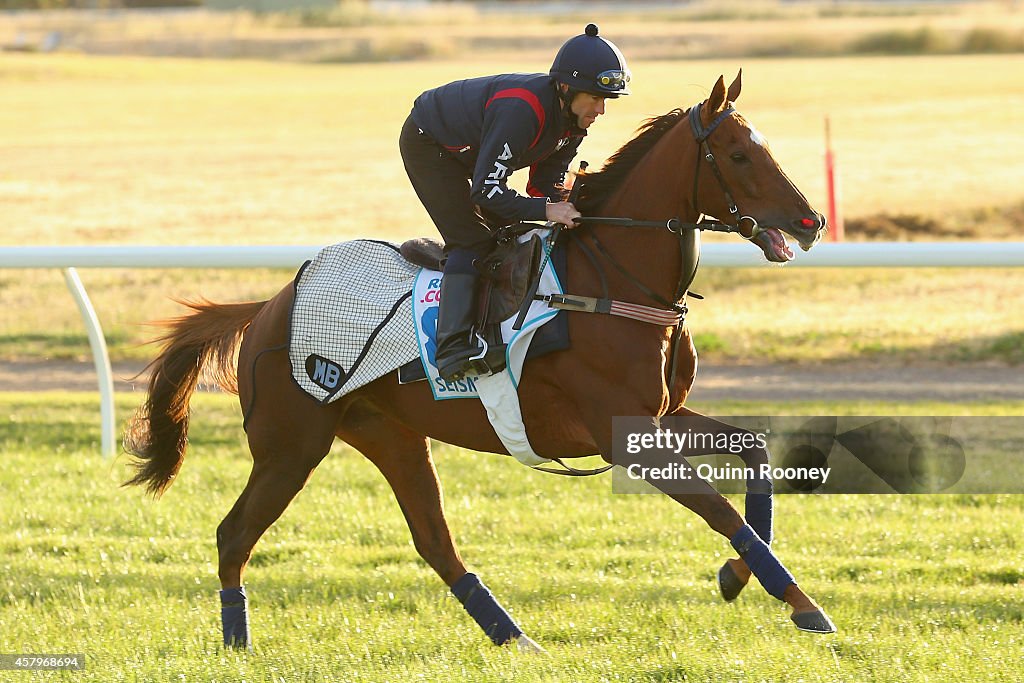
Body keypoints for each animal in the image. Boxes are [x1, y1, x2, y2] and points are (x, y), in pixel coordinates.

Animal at [123, 70, 835, 651]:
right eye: (739, 154)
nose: (811, 221)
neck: (613, 282)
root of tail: (270, 305)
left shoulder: (662, 416)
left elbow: (756, 455)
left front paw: (740, 577)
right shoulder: (624, 438)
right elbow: (719, 510)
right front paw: (804, 605)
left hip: (390, 435)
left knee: (434, 541)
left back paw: (516, 639)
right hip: (291, 445)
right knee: (233, 533)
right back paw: (237, 641)